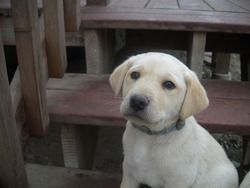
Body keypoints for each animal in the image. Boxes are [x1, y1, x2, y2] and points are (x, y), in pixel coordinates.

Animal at [109, 52, 238, 188]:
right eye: (134, 75)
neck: (149, 136)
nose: (137, 101)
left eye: (169, 85)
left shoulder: (179, 180)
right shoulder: (129, 171)